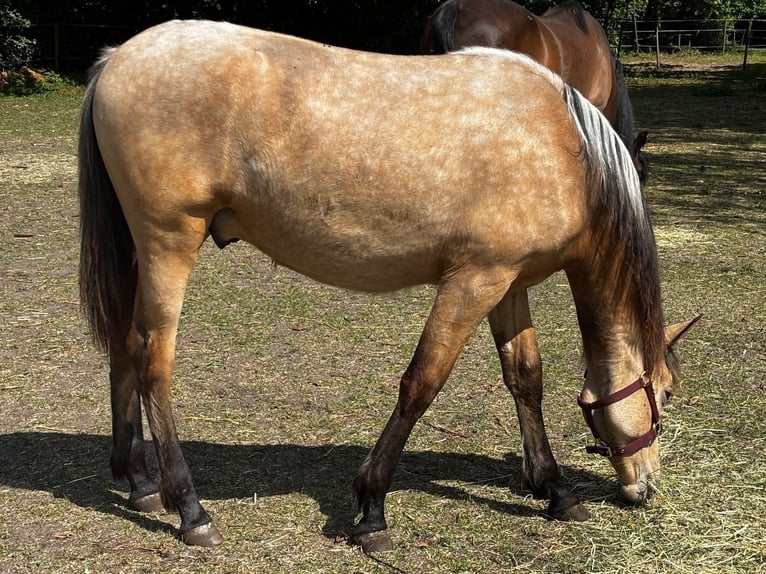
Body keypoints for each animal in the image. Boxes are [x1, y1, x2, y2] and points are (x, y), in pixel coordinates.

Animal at [78, 20, 697, 552]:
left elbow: (526, 378)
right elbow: (422, 383)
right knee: (153, 360)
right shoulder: (473, 281)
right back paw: (191, 509)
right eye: (664, 394)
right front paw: (371, 507)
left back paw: (139, 483)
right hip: (168, 244)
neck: (564, 149)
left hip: (140, 252)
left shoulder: (507, 281)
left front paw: (555, 490)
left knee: (124, 348)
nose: (645, 487)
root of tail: (116, 59)